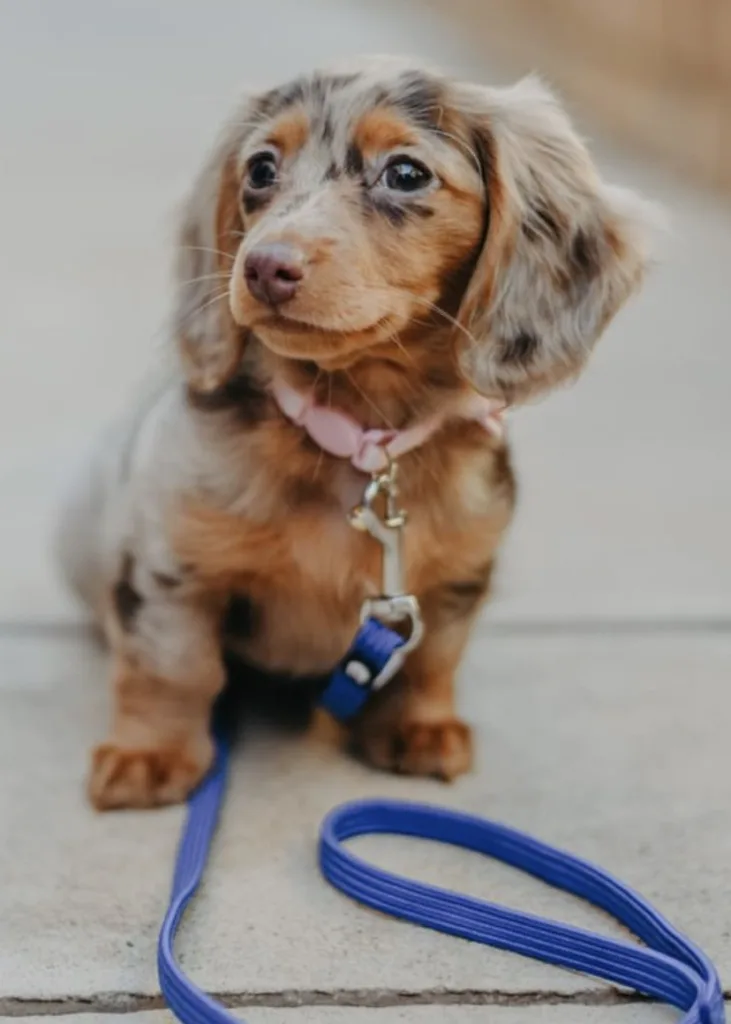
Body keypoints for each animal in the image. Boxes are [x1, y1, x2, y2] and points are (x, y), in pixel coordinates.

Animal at [58, 56, 655, 806]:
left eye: (405, 173)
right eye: (260, 168)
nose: (263, 267)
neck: (360, 438)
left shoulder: (455, 575)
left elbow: (433, 658)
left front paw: (418, 727)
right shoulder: (173, 563)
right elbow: (173, 666)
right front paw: (150, 755)